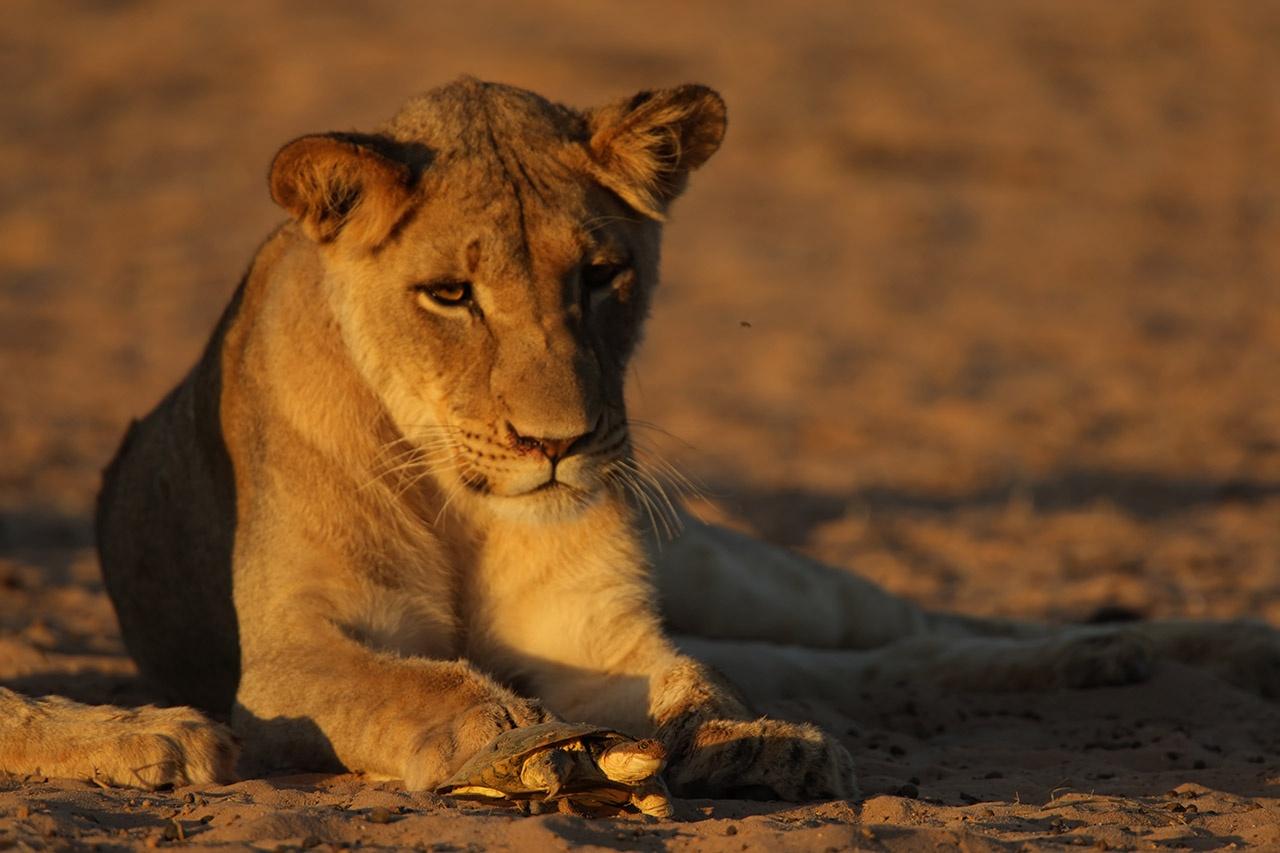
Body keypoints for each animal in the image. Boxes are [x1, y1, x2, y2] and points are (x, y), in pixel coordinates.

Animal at [2, 78, 1280, 799]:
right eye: (451, 295)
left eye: (600, 274)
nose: (558, 444)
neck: (460, 493)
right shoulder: (290, 657)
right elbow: (418, 682)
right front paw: (510, 736)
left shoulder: (597, 626)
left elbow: (685, 678)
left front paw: (755, 742)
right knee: (886, 661)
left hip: (741, 571)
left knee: (915, 622)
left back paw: (1166, 647)